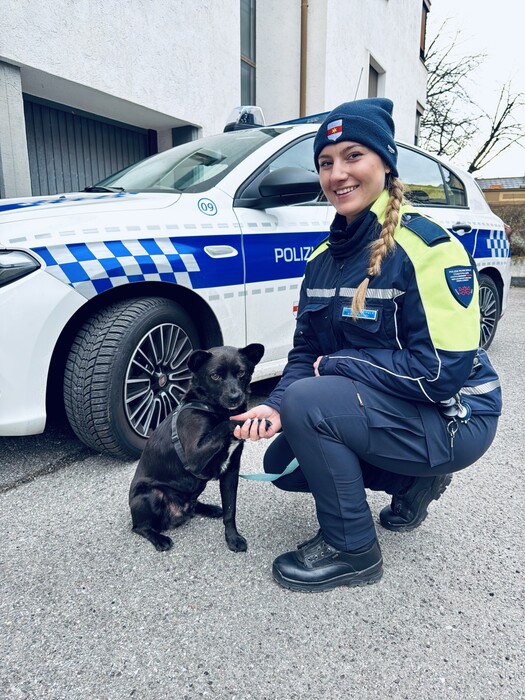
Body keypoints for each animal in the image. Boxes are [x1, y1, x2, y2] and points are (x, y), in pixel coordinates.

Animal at [129, 344, 264, 552]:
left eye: (241, 373)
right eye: (215, 376)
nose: (235, 397)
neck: (212, 408)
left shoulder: (231, 471)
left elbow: (230, 511)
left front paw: (233, 538)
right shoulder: (195, 455)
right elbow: (225, 424)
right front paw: (251, 420)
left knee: (193, 504)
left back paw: (209, 508)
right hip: (151, 494)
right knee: (139, 527)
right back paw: (159, 539)